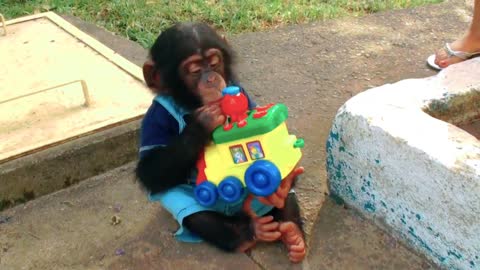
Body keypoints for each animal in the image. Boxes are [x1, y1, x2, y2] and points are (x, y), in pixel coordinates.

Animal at [135, 22, 306, 262]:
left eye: (215, 62)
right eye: (195, 70)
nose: (211, 78)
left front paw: (280, 187)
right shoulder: (156, 117)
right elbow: (149, 170)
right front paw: (204, 122)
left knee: (285, 198)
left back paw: (292, 232)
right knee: (195, 213)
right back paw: (249, 233)